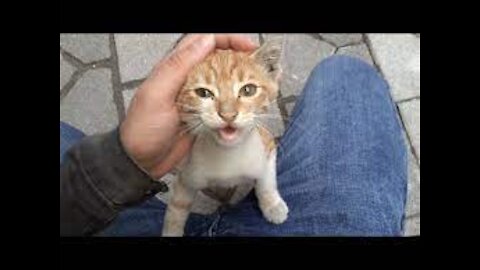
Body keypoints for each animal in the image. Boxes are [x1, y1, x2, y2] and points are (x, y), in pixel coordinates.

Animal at [163, 39, 286, 236]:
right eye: (203, 93)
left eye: (248, 90)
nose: (228, 115)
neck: (228, 154)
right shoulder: (187, 176)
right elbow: (176, 208)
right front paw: (171, 231)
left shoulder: (267, 144)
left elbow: (266, 181)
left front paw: (273, 205)